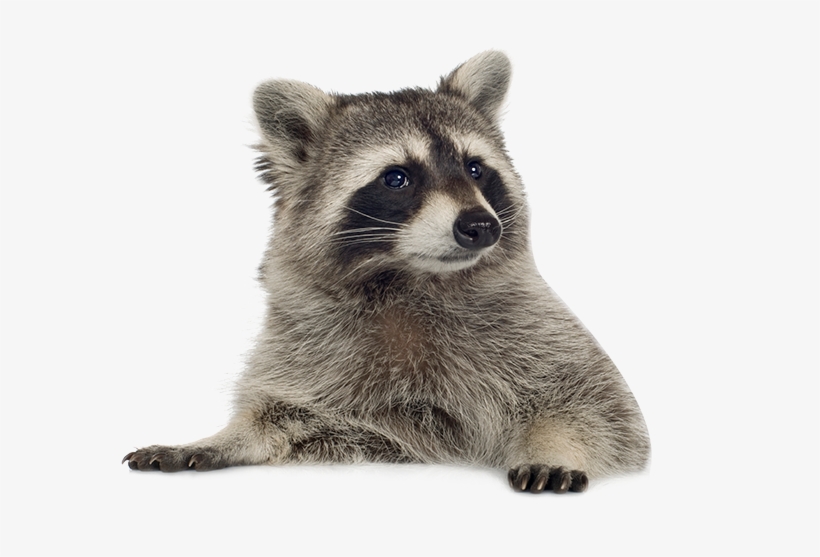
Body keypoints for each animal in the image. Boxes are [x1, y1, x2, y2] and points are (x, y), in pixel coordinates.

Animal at [123, 51, 650, 493]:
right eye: (397, 178)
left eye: (475, 169)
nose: (481, 226)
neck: (409, 278)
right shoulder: (314, 350)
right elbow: (285, 416)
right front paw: (222, 438)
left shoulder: (538, 328)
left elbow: (602, 410)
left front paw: (555, 446)